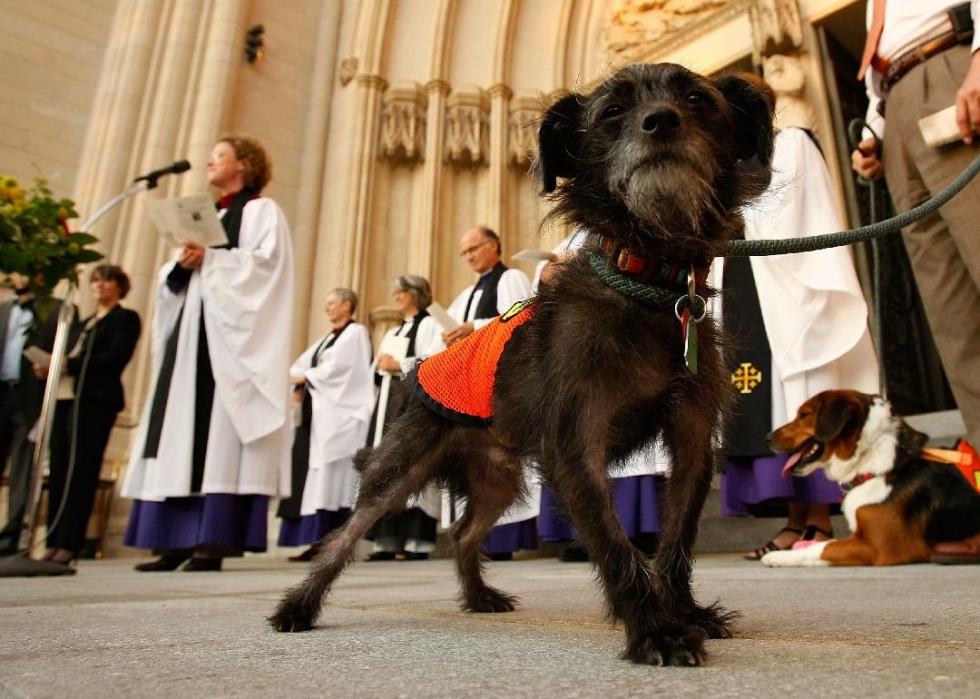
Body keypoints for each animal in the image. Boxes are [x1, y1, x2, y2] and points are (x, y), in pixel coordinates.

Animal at [268, 64, 772, 668]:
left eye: (697, 98)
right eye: (612, 112)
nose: (660, 121)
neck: (647, 282)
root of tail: (415, 374)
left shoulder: (692, 443)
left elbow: (675, 540)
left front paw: (685, 613)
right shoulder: (576, 446)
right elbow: (614, 541)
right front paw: (655, 630)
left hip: (498, 479)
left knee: (465, 532)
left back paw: (479, 595)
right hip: (401, 469)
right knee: (344, 536)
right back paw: (299, 606)